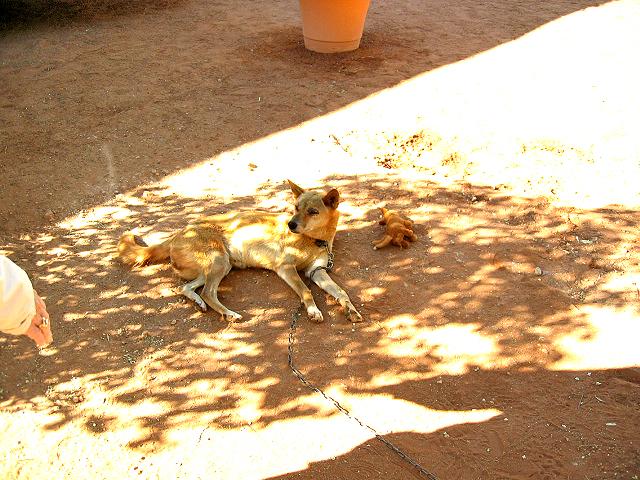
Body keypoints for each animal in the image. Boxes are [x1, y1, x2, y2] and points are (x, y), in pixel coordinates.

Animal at [117, 180, 362, 322]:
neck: (314, 240)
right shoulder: (285, 268)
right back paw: (228, 313)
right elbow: (306, 290)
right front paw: (313, 311)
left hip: (220, 267)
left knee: (187, 288)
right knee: (208, 292)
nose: (290, 225)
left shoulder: (317, 271)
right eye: (295, 208)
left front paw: (351, 309)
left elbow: (342, 292)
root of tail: (179, 232)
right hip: (219, 261)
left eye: (312, 211)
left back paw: (199, 303)